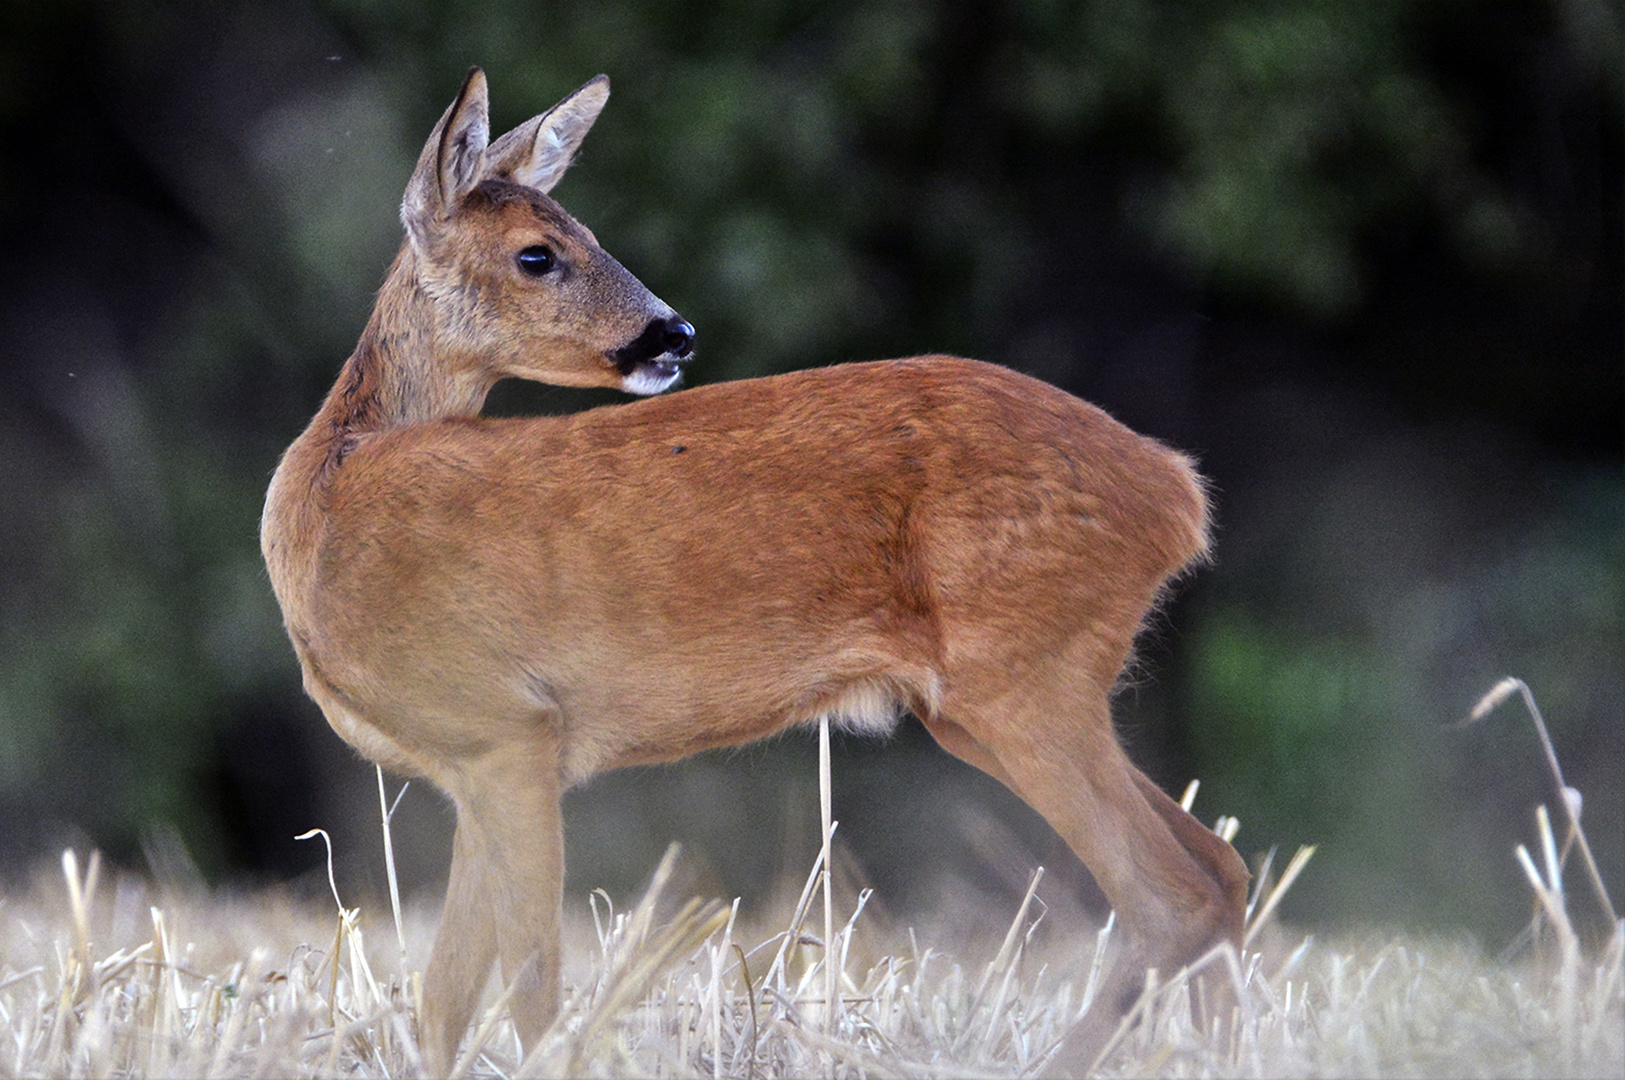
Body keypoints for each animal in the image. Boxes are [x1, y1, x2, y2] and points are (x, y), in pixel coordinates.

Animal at [260, 71, 1248, 1071]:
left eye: (583, 232)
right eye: (538, 253)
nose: (673, 333)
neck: (326, 508)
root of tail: (1174, 492)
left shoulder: (511, 728)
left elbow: (531, 986)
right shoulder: (472, 763)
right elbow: (446, 998)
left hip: (1024, 670)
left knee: (1173, 893)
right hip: (988, 699)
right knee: (1222, 863)